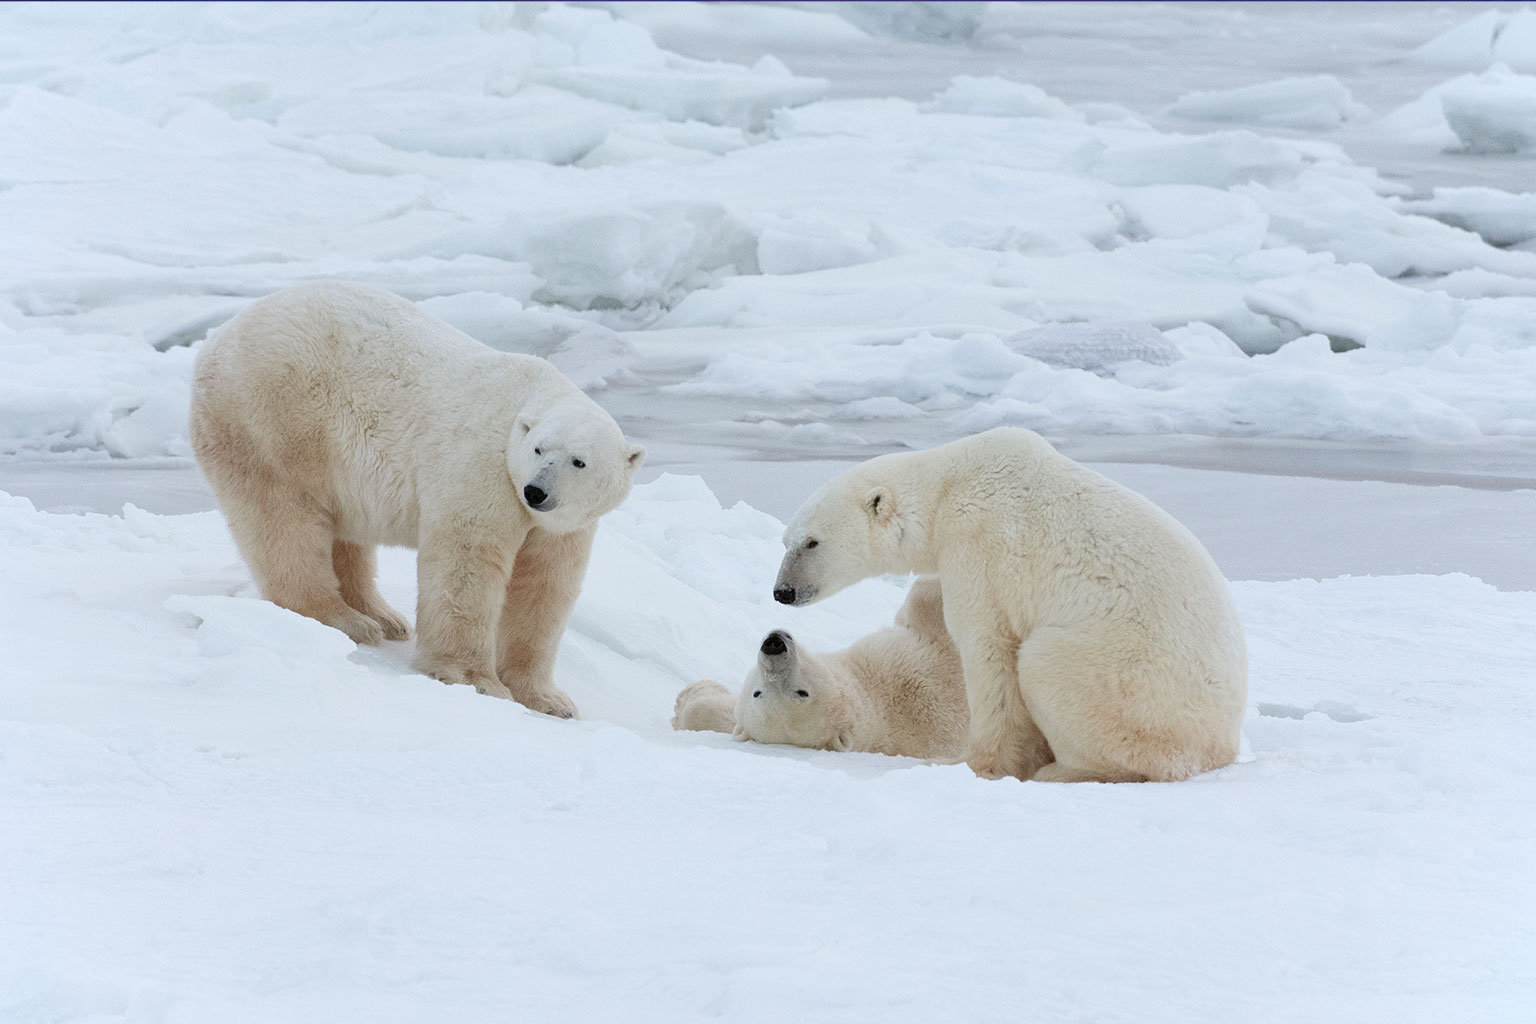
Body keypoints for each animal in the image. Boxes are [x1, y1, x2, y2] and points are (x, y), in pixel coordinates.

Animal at [188, 281, 643, 718]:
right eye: (538, 449)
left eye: (578, 461)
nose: (537, 491)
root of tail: (216, 340)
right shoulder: (482, 469)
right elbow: (467, 564)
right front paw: (474, 680)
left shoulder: (565, 526)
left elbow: (544, 586)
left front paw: (549, 699)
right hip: (275, 421)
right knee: (284, 523)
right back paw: (344, 619)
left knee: (342, 533)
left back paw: (383, 617)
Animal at [672, 577, 969, 760]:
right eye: (759, 693)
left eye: (801, 692)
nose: (774, 645)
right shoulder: (904, 662)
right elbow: (930, 604)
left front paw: (684, 702)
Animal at [771, 427, 1247, 783]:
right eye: (786, 541)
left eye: (812, 542)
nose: (782, 592)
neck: (950, 485)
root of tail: (1220, 747)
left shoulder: (982, 548)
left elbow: (990, 652)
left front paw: (971, 763)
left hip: (1131, 683)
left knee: (1046, 666)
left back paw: (1064, 770)